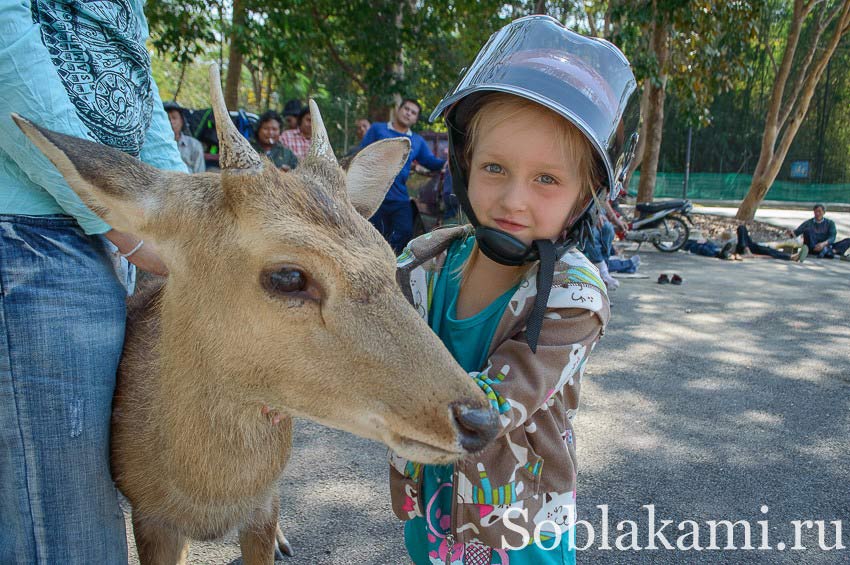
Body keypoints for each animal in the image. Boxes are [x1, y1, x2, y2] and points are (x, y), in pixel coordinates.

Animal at [9, 64, 496, 560]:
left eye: (387, 252)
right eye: (288, 276)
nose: (479, 420)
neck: (203, 494)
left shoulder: (261, 505)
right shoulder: (149, 516)